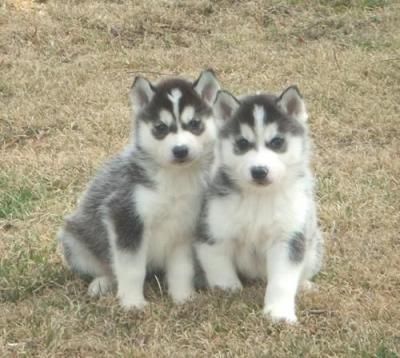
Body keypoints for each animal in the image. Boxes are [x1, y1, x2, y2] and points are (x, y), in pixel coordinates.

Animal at [57, 69, 219, 308]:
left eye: (195, 124)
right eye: (160, 128)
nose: (180, 150)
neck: (174, 179)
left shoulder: (183, 228)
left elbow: (182, 269)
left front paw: (183, 298)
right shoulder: (125, 217)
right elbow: (131, 269)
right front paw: (132, 303)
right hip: (74, 239)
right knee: (105, 267)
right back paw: (102, 283)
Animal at [195, 86, 324, 324]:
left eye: (277, 142)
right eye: (242, 143)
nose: (259, 171)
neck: (259, 197)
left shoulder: (288, 239)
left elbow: (283, 281)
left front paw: (279, 313)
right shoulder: (212, 233)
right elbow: (219, 268)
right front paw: (228, 291)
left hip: (313, 244)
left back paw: (305, 285)